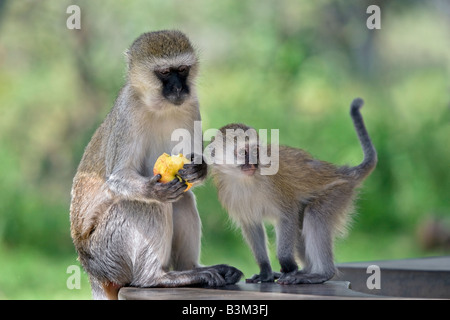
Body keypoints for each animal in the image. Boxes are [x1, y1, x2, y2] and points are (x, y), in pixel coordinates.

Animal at [71, 30, 244, 300]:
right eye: (164, 72)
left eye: (182, 69)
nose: (178, 87)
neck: (158, 106)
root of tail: (93, 272)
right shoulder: (128, 109)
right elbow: (119, 177)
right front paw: (151, 190)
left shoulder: (191, 104)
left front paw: (199, 168)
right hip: (108, 255)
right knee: (148, 204)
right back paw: (155, 278)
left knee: (182, 198)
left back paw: (191, 269)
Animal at [207, 99, 376, 284]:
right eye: (244, 152)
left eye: (255, 151)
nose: (253, 163)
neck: (244, 180)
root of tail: (342, 173)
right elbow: (252, 225)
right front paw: (265, 271)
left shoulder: (274, 187)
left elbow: (287, 216)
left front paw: (288, 265)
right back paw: (307, 270)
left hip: (339, 192)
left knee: (314, 215)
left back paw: (322, 274)